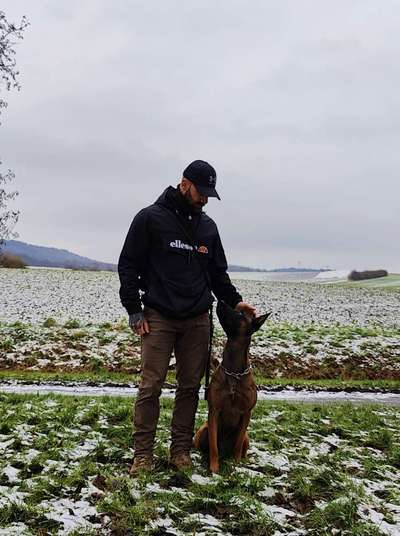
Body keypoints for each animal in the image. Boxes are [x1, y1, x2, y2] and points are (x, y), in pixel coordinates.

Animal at [192, 302, 270, 474]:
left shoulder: (246, 413)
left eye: (240, 314)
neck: (234, 372)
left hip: (247, 436)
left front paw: (237, 465)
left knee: (242, 445)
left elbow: (238, 444)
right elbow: (213, 446)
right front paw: (214, 468)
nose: (220, 302)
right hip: (203, 430)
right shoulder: (214, 411)